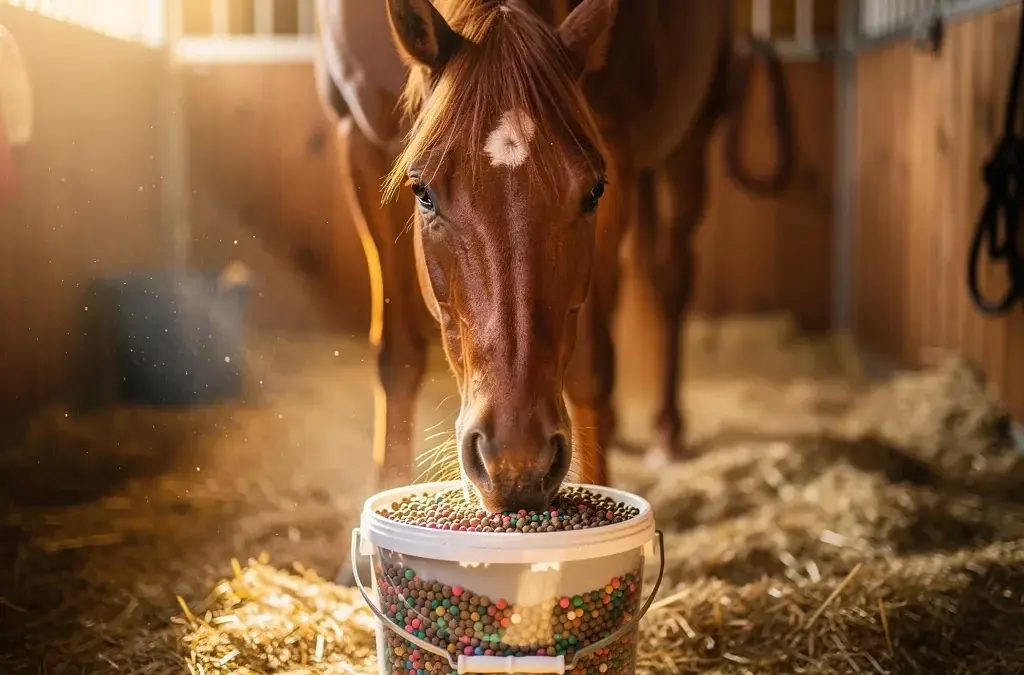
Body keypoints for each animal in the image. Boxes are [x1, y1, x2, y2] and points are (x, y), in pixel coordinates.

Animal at [315, 0, 791, 563]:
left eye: (592, 192)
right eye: (422, 191)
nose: (516, 463)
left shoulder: (616, 149)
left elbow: (590, 368)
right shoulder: (359, 140)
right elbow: (398, 358)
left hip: (688, 142)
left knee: (668, 277)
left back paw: (666, 433)